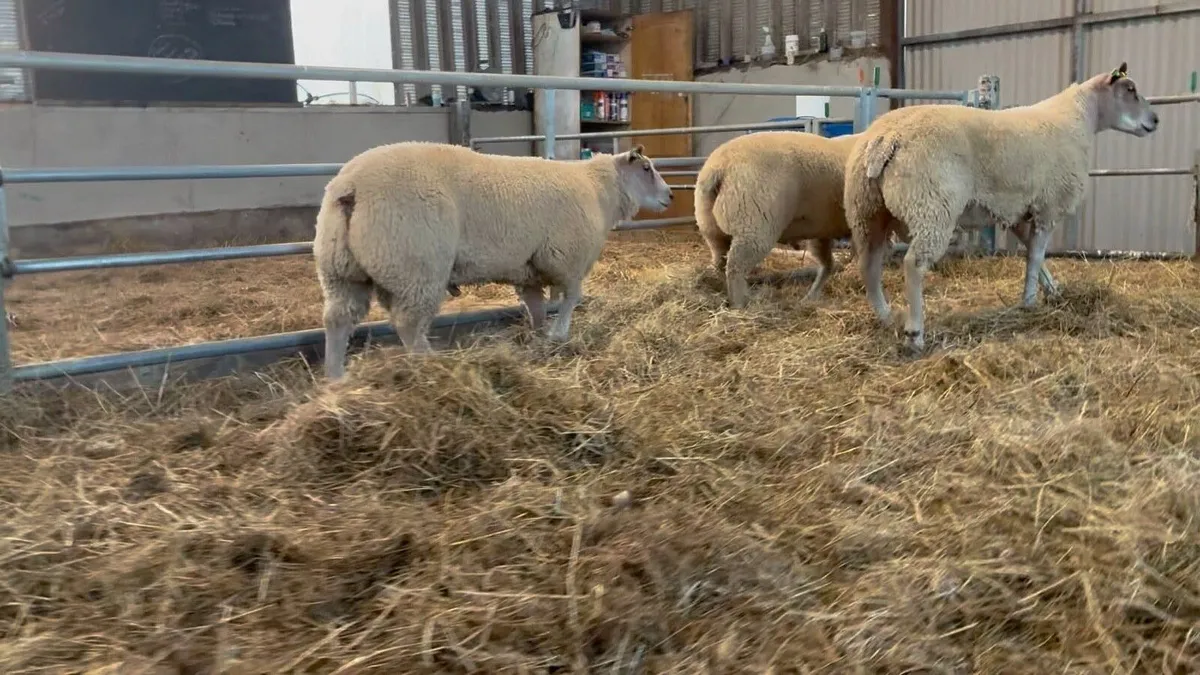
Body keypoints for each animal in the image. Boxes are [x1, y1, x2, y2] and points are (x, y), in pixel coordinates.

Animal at [313, 141, 674, 380]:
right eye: (646, 168)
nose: (670, 195)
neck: (600, 190)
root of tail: (351, 187)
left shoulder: (530, 268)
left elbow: (536, 305)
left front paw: (540, 335)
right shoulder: (568, 259)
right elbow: (571, 299)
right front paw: (559, 334)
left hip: (341, 271)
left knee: (337, 320)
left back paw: (336, 378)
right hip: (418, 266)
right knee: (408, 324)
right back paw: (430, 364)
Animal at [695, 130, 863, 309]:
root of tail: (717, 168)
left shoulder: (823, 229)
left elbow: (827, 264)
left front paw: (811, 296)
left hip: (711, 228)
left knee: (720, 262)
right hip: (754, 225)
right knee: (735, 267)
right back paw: (741, 304)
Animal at [844, 62, 1159, 351]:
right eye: (1130, 89)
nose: (1155, 120)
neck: (1078, 118)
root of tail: (886, 138)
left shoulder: (1018, 212)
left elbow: (1034, 254)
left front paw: (1052, 290)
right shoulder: (1049, 206)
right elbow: (1035, 257)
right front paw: (1029, 301)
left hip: (867, 210)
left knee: (869, 265)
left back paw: (886, 317)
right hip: (931, 206)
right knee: (913, 264)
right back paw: (915, 333)